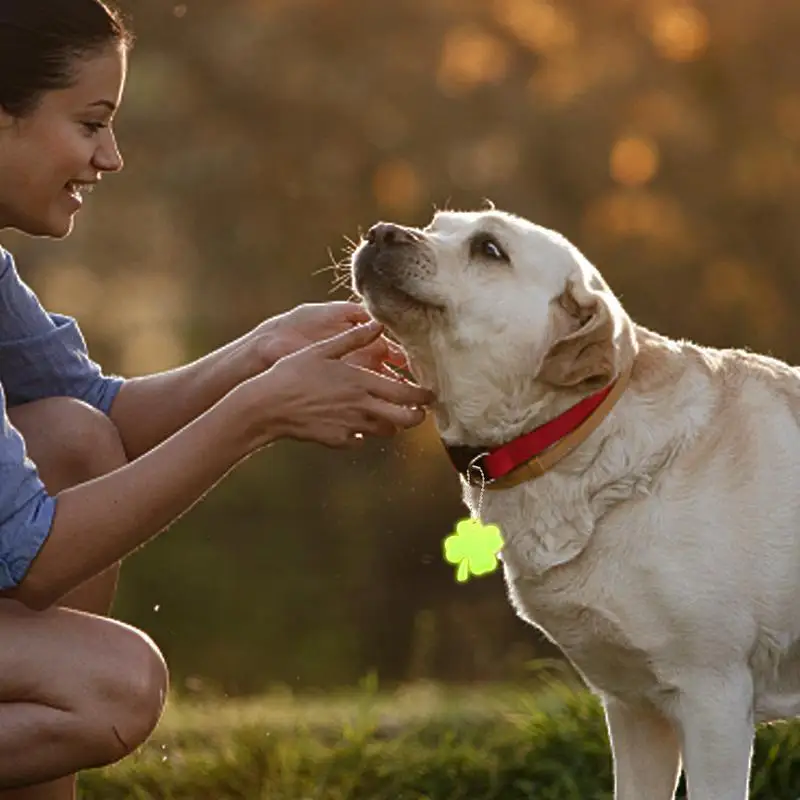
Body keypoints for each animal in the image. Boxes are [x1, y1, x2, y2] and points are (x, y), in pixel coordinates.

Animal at [352, 209, 800, 800]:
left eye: (489, 249)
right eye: (435, 224)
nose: (380, 232)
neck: (574, 434)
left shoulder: (715, 694)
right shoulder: (634, 705)